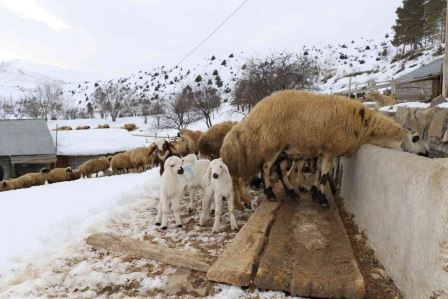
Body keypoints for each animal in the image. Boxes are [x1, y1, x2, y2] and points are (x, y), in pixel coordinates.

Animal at [220, 89, 428, 206]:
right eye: (416, 138)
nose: (426, 154)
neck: (362, 126)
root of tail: (253, 115)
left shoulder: (322, 151)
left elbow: (319, 172)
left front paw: (313, 192)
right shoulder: (330, 150)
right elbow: (324, 175)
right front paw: (321, 198)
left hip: (282, 149)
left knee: (278, 169)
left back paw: (291, 192)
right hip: (272, 144)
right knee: (264, 168)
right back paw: (269, 193)